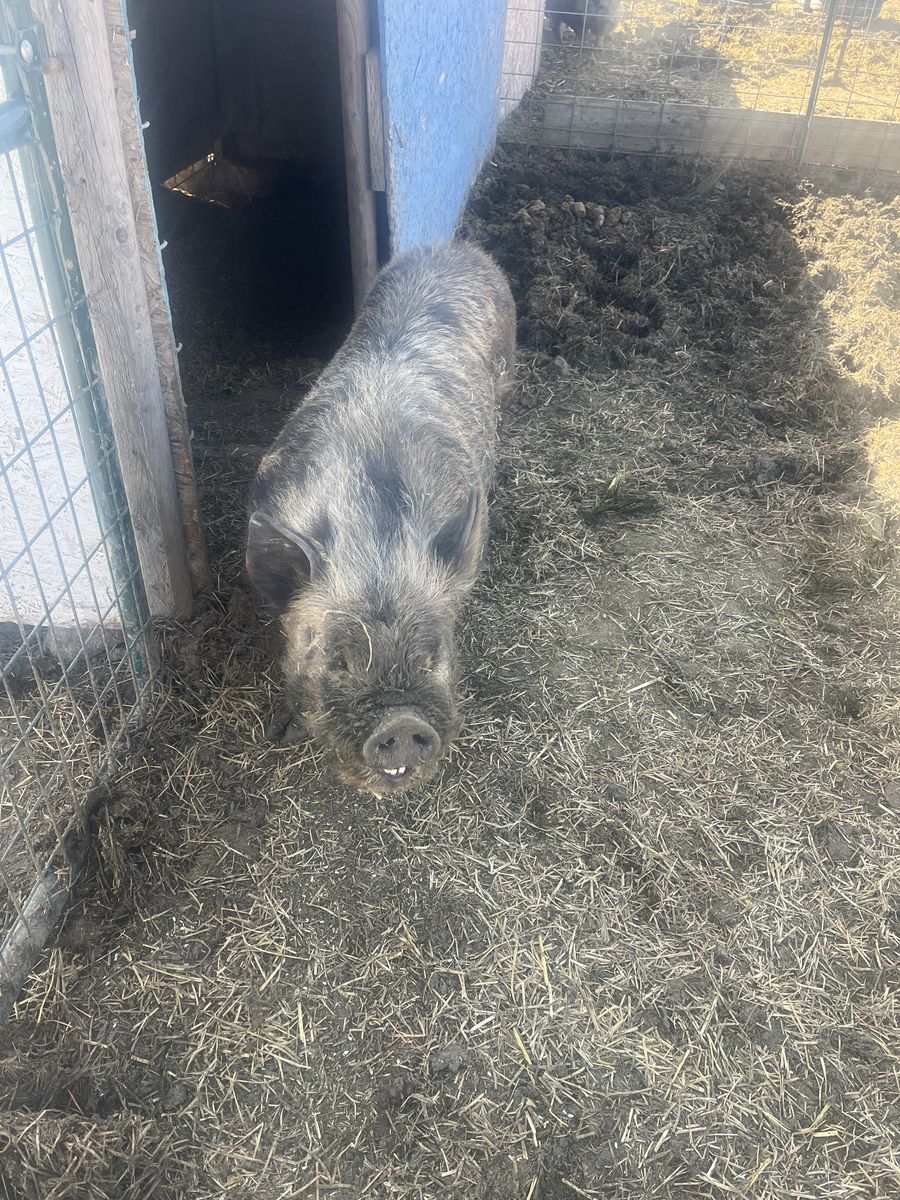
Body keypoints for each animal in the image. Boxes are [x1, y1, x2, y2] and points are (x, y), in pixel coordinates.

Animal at [246, 242, 516, 796]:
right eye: (335, 659)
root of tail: (457, 248)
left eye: (432, 655)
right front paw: (283, 733)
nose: (403, 721)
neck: (377, 543)